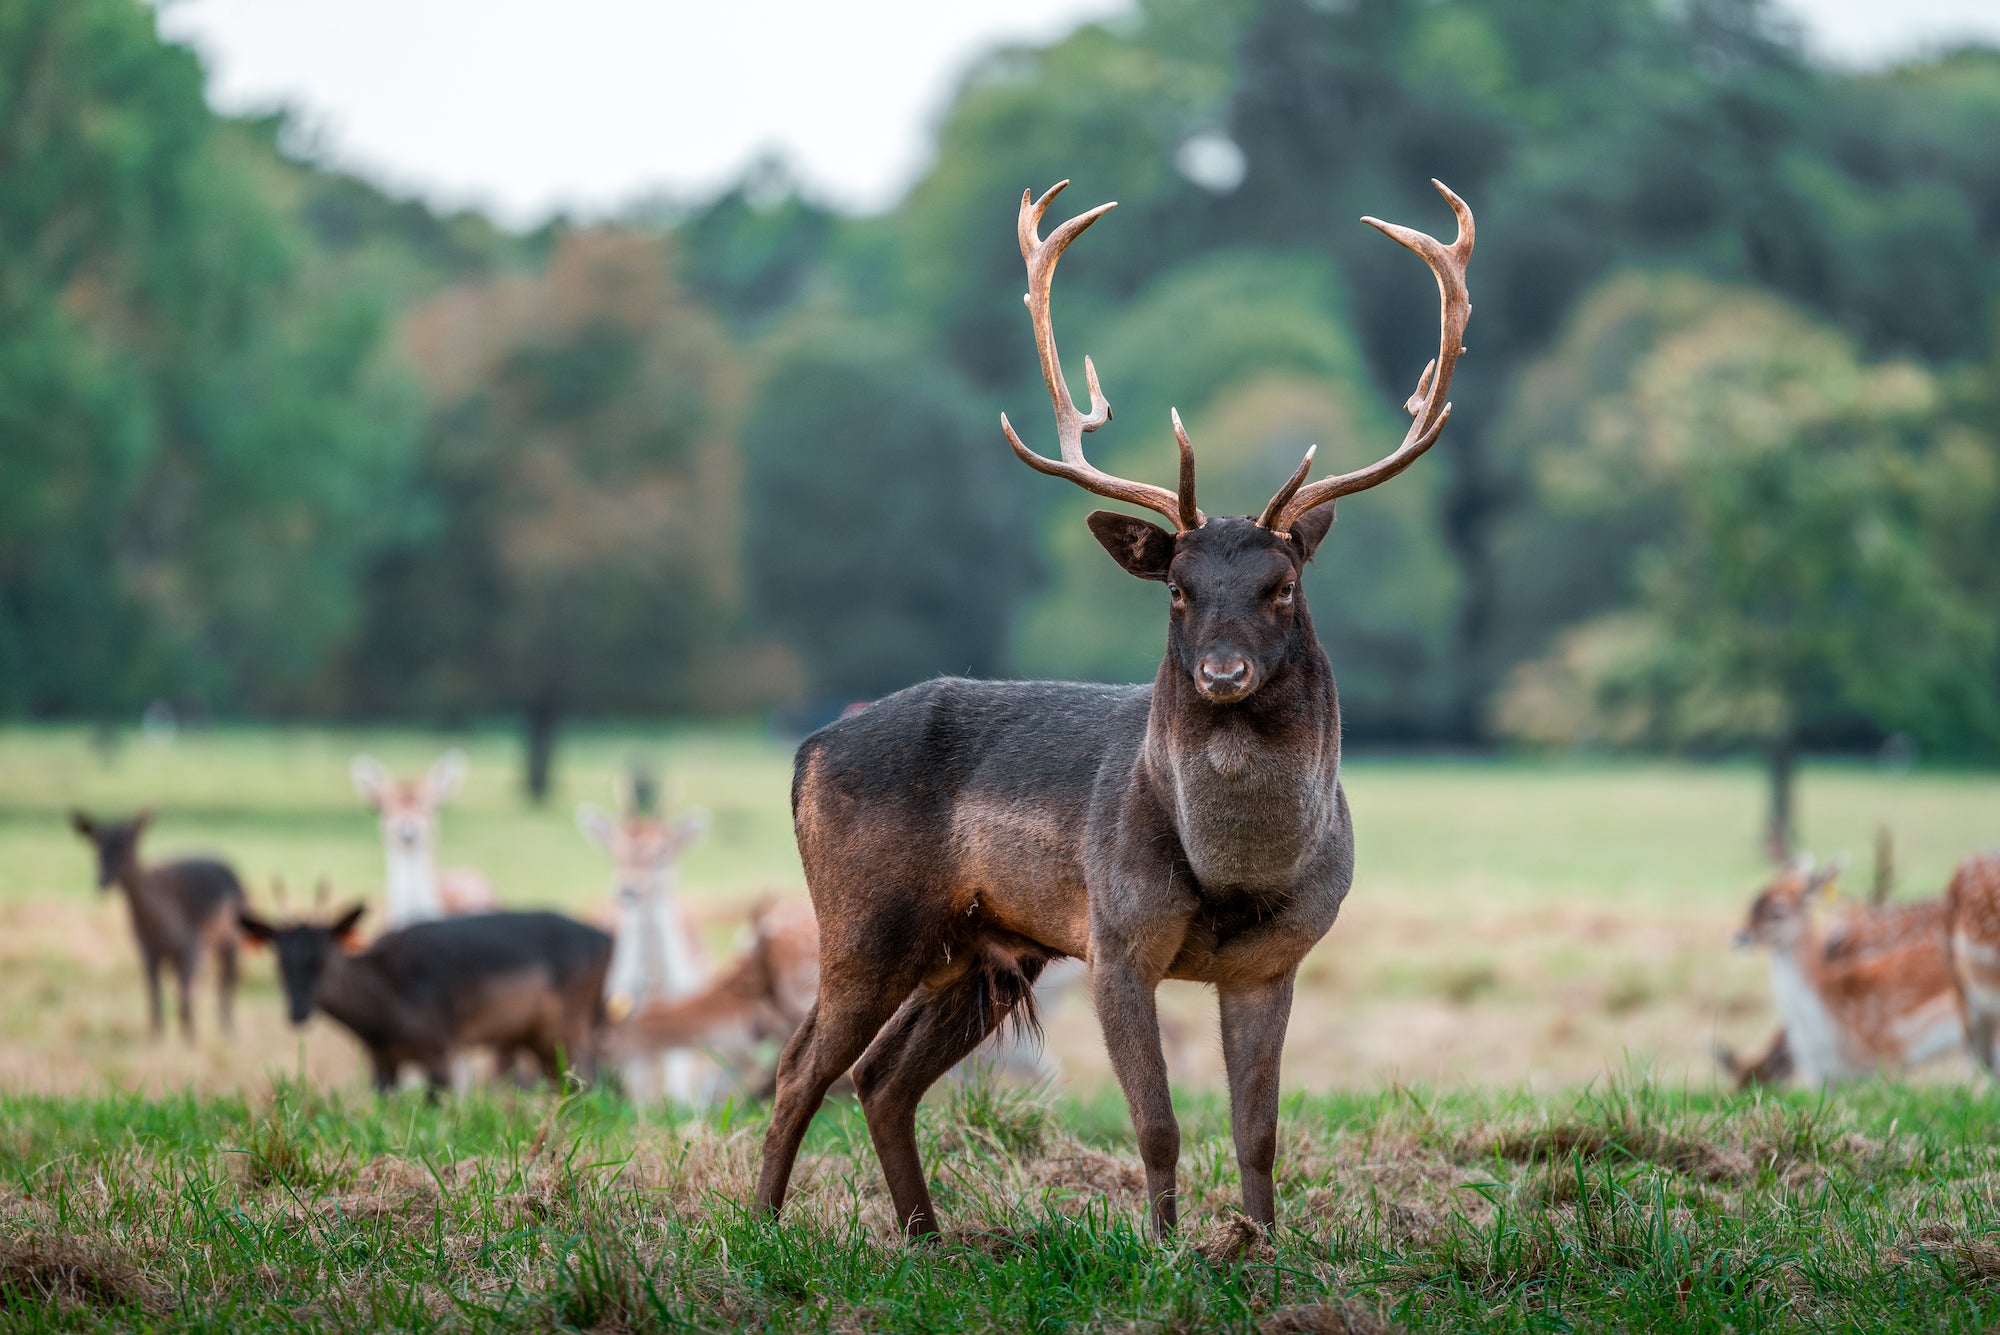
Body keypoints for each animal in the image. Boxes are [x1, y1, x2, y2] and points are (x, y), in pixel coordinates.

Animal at [69, 809, 244, 1040]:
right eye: (97, 847)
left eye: (127, 846)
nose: (102, 882)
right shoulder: (146, 952)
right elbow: (155, 1000)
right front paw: (156, 1039)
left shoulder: (191, 946)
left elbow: (183, 1001)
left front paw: (192, 1041)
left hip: (231, 940)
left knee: (225, 986)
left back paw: (230, 1033)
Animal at [238, 901, 611, 1098]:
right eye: (280, 962)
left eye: (322, 959)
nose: (297, 1012)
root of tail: (608, 940)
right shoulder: (381, 1061)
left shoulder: (440, 1046)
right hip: (538, 1037)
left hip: (570, 1024)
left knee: (590, 1073)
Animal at [753, 177, 1473, 1241]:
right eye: (1175, 586)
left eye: (1283, 586)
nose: (1221, 672)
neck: (1234, 871)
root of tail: (807, 749)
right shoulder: (1117, 937)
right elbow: (1159, 1125)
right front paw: (1166, 1249)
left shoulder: (1275, 960)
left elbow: (1259, 1130)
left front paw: (1260, 1246)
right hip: (864, 915)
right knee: (802, 1066)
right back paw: (761, 1226)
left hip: (982, 947)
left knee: (883, 1077)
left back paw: (929, 1238)